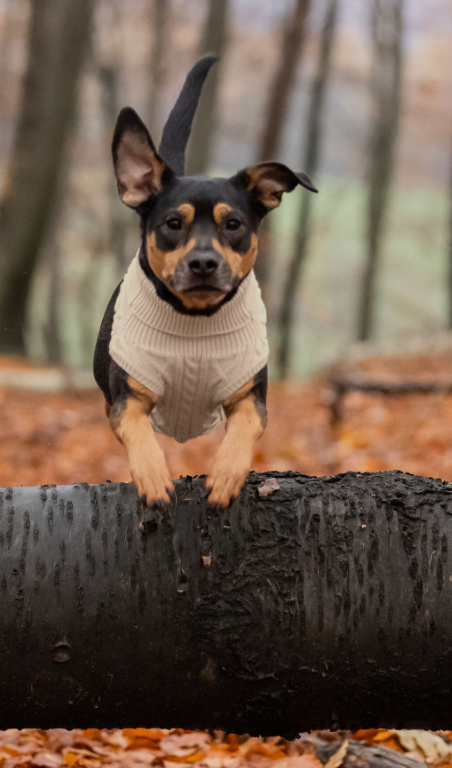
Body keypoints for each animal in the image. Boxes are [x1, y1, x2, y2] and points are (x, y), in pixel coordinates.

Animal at [93, 55, 316, 510]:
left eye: (233, 224)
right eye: (172, 224)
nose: (203, 263)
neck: (194, 320)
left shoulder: (251, 395)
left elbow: (246, 427)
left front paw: (227, 474)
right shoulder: (126, 399)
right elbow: (136, 429)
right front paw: (152, 475)